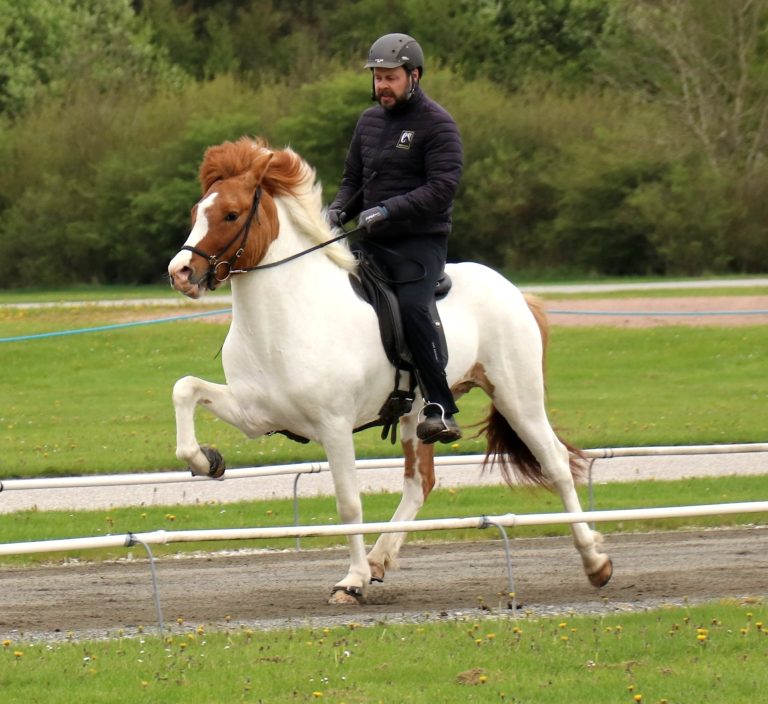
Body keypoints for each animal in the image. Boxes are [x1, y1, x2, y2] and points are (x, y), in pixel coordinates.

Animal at [168, 136, 612, 604]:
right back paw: (380, 560)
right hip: (420, 417)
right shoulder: (255, 416)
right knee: (420, 484)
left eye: (231, 214)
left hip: (517, 398)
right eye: (197, 212)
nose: (180, 273)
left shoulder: (334, 426)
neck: (285, 315)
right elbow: (185, 389)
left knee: (556, 463)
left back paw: (595, 562)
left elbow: (349, 504)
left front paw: (351, 581)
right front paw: (206, 461)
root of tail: (514, 292)